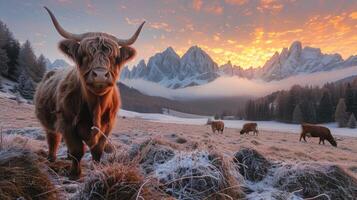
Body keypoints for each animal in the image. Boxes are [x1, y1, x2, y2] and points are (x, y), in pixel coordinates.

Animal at [33, 7, 144, 180]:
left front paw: (96, 170)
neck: (96, 106)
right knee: (53, 139)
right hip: (50, 123)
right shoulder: (67, 123)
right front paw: (74, 174)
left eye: (114, 57)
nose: (100, 75)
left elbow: (97, 151)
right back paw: (51, 159)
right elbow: (77, 150)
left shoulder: (107, 127)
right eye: (85, 54)